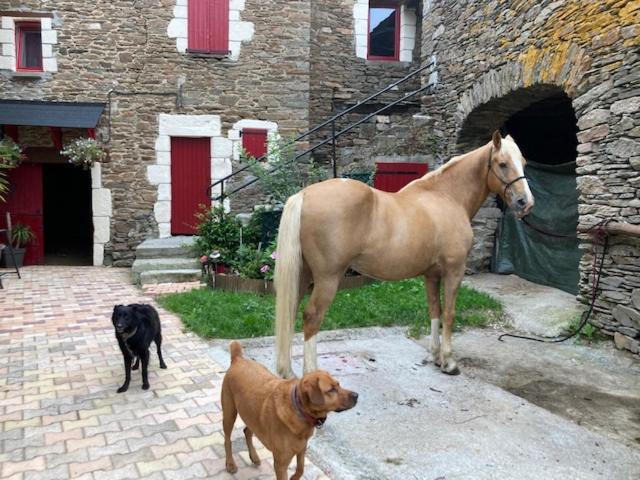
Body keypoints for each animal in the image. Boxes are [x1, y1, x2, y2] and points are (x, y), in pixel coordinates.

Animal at [222, 340, 358, 478]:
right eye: (331, 390)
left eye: (338, 385)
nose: (356, 395)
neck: (299, 410)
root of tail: (238, 359)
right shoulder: (280, 464)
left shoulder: (302, 449)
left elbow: (301, 468)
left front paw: (294, 477)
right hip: (229, 413)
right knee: (227, 439)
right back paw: (230, 463)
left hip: (251, 415)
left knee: (247, 431)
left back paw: (254, 456)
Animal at [272, 132, 532, 378]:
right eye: (502, 164)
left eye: (523, 163)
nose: (525, 202)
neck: (447, 197)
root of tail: (304, 194)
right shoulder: (454, 271)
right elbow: (449, 314)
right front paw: (448, 362)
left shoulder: (431, 275)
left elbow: (434, 310)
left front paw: (435, 356)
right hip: (327, 278)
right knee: (312, 318)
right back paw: (311, 374)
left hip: (303, 274)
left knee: (290, 311)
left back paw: (287, 372)